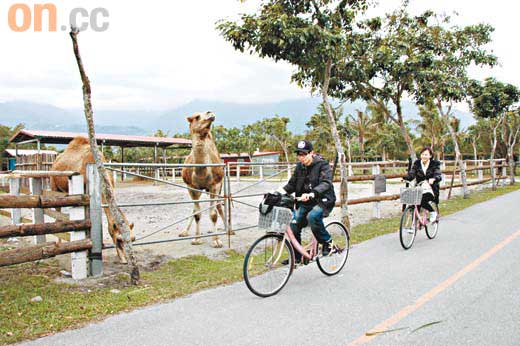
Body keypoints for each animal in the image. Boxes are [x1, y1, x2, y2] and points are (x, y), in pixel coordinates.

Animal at [181, 110, 225, 246]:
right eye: (196, 117)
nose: (210, 113)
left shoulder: (215, 185)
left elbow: (213, 214)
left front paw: (217, 241)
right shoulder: (191, 187)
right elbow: (197, 214)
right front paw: (196, 239)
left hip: (219, 186)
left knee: (219, 206)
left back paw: (229, 230)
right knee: (195, 209)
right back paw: (184, 232)